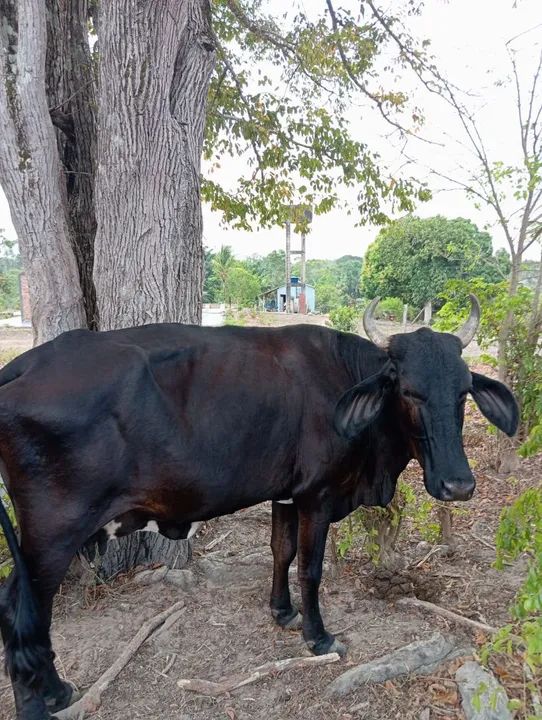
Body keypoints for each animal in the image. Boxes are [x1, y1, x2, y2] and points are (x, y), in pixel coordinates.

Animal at [0, 295, 518, 719]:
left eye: (463, 391)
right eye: (408, 390)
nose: (457, 484)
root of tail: (26, 363)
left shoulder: (286, 494)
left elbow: (281, 552)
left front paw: (282, 612)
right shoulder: (317, 496)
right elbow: (310, 567)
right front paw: (318, 636)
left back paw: (56, 691)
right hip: (53, 532)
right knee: (24, 612)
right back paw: (38, 703)